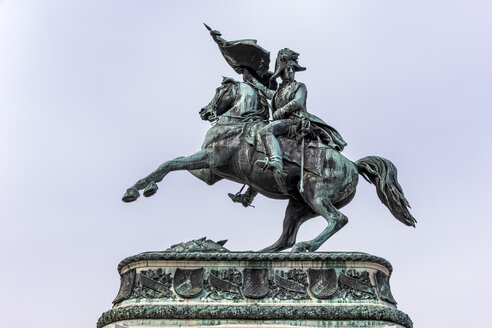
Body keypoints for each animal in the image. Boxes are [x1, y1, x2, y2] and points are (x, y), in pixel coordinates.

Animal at [122, 77, 416, 251]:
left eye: (219, 89)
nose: (204, 112)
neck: (236, 121)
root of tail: (353, 165)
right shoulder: (210, 172)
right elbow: (172, 164)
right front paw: (143, 187)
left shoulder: (209, 157)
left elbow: (169, 163)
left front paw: (136, 190)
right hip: (299, 205)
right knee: (286, 238)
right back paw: (255, 254)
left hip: (316, 195)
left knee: (336, 220)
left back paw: (306, 247)